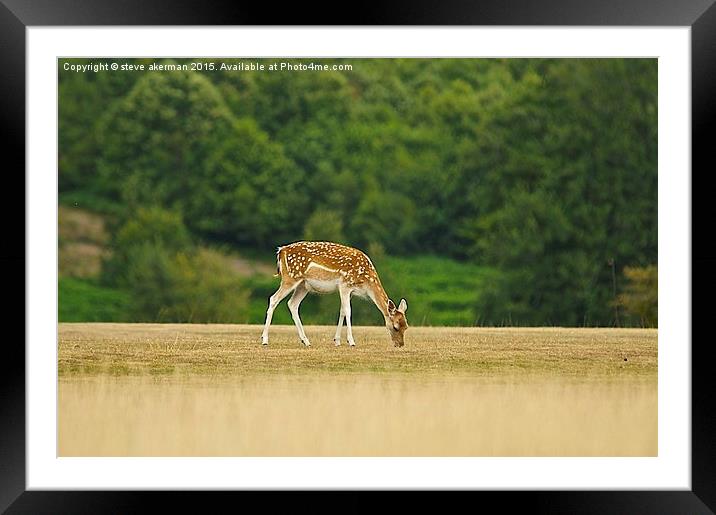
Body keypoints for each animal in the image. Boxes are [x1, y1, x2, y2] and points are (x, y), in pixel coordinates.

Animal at [262, 241, 408, 346]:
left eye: (406, 327)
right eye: (395, 327)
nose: (400, 344)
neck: (366, 282)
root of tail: (281, 251)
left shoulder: (350, 291)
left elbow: (342, 311)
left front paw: (337, 341)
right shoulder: (344, 285)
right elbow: (348, 311)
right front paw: (351, 341)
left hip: (303, 285)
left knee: (292, 304)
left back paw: (306, 341)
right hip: (290, 278)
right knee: (273, 299)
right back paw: (264, 339)